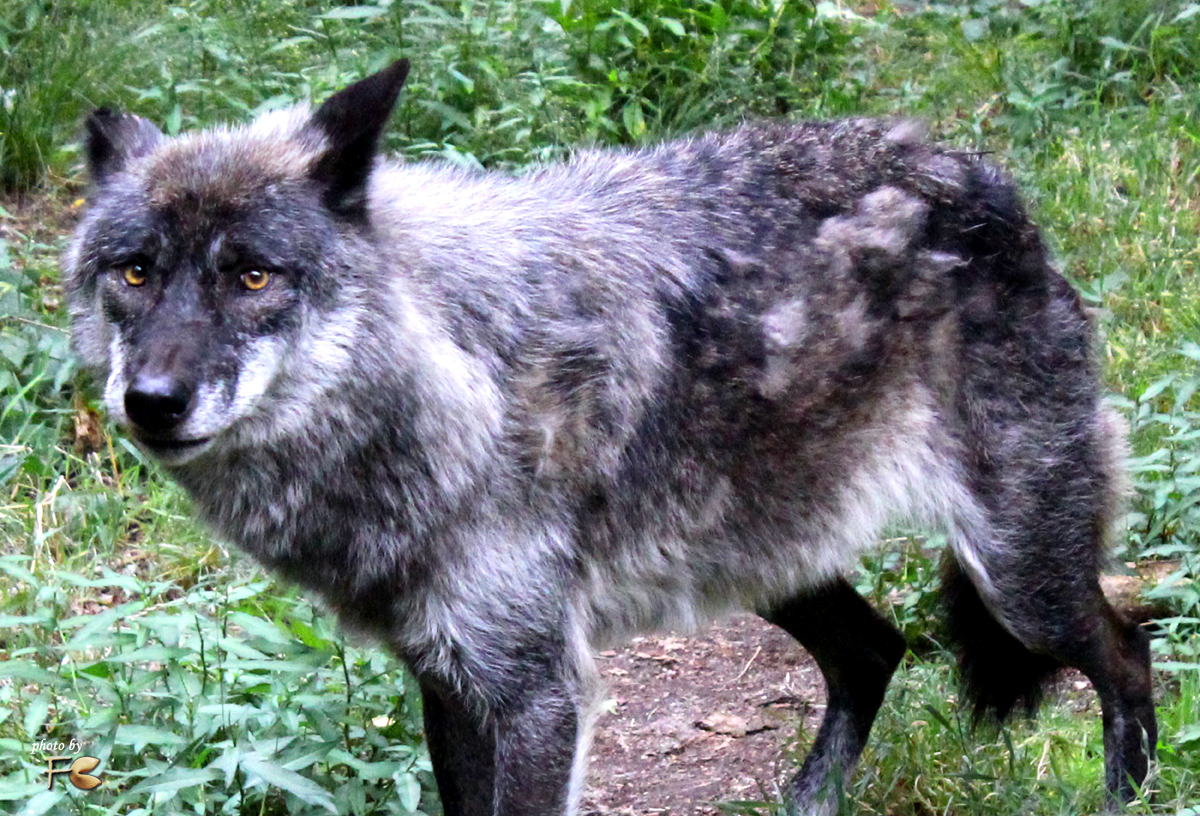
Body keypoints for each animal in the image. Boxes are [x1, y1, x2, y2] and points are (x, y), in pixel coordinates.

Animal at [63, 62, 1152, 816]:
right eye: (134, 271)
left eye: (252, 275)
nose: (151, 401)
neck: (449, 377)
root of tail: (982, 177)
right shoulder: (449, 679)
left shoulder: (538, 693)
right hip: (760, 557)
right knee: (876, 649)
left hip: (1016, 578)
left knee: (1129, 652)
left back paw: (1124, 798)